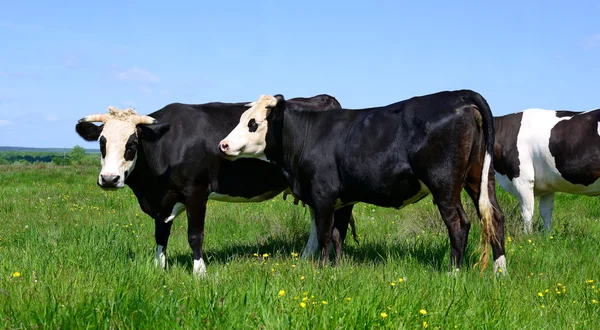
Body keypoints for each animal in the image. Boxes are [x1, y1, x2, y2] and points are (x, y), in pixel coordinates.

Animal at [75, 94, 356, 278]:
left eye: (132, 143)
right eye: (101, 142)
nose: (109, 179)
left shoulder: (196, 192)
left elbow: (195, 235)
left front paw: (199, 273)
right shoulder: (163, 200)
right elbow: (161, 235)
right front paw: (159, 267)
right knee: (316, 218)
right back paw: (307, 256)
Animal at [218, 90, 508, 274]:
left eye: (253, 123)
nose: (224, 144)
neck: (307, 136)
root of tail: (460, 95)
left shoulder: (322, 196)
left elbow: (324, 235)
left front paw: (321, 270)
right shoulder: (343, 200)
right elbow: (338, 234)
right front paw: (337, 269)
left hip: (443, 183)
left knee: (459, 223)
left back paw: (452, 273)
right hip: (478, 176)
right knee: (494, 215)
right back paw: (499, 271)